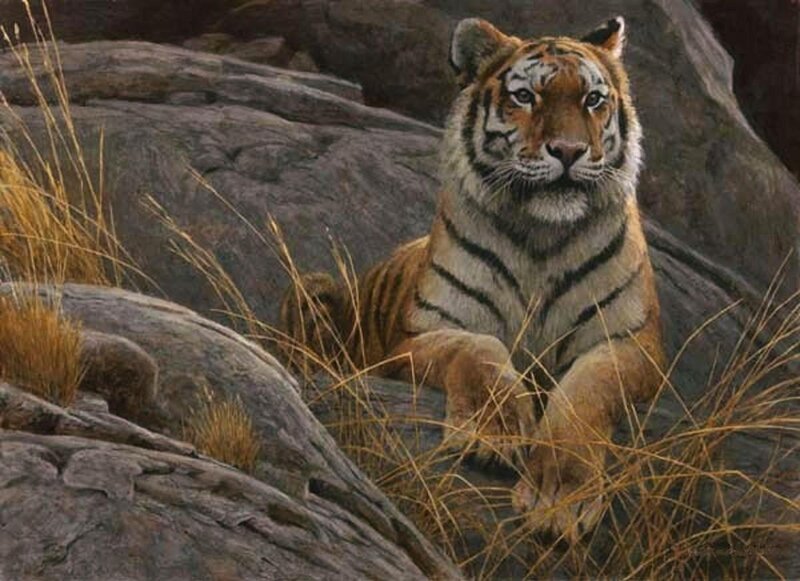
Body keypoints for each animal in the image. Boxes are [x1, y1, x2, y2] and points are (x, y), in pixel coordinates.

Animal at [280, 16, 664, 540]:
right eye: (525, 97)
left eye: (592, 99)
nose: (568, 150)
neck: (541, 237)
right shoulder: (424, 335)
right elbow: (478, 352)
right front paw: (493, 433)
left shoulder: (631, 344)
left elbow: (588, 393)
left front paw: (560, 497)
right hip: (315, 289)